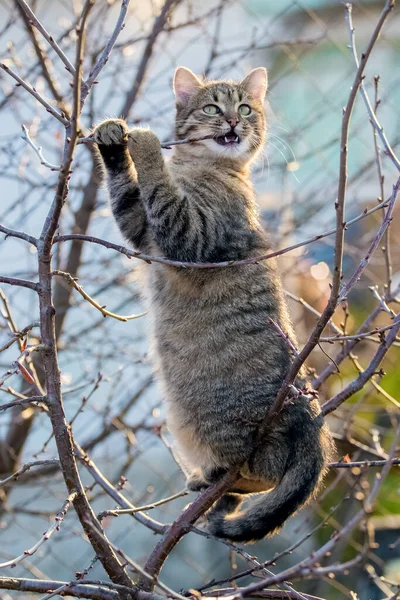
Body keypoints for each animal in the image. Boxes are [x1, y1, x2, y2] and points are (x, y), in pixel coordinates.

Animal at [92, 67, 332, 544]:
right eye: (211, 107)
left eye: (245, 108)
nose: (234, 122)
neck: (200, 167)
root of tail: (310, 420)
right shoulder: (143, 233)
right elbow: (127, 194)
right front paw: (113, 140)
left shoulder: (191, 238)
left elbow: (160, 187)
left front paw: (145, 143)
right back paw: (212, 483)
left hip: (217, 424)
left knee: (264, 472)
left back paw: (221, 481)